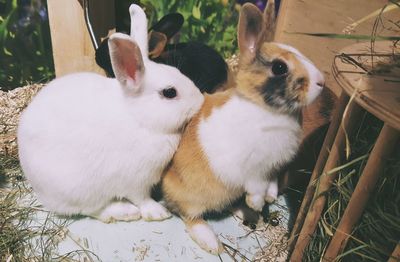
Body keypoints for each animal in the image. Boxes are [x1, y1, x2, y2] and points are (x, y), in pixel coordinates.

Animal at [16, 4, 203, 222]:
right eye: (169, 92)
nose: (200, 101)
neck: (139, 119)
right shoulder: (135, 179)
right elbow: (142, 198)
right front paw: (158, 212)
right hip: (79, 190)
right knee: (92, 210)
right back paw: (125, 212)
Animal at [161, 0, 324, 254]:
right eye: (279, 67)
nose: (321, 82)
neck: (266, 110)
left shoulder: (274, 168)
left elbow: (271, 183)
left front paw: (268, 199)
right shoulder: (251, 168)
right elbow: (255, 184)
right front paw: (257, 202)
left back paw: (246, 212)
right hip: (190, 197)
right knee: (189, 215)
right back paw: (212, 241)